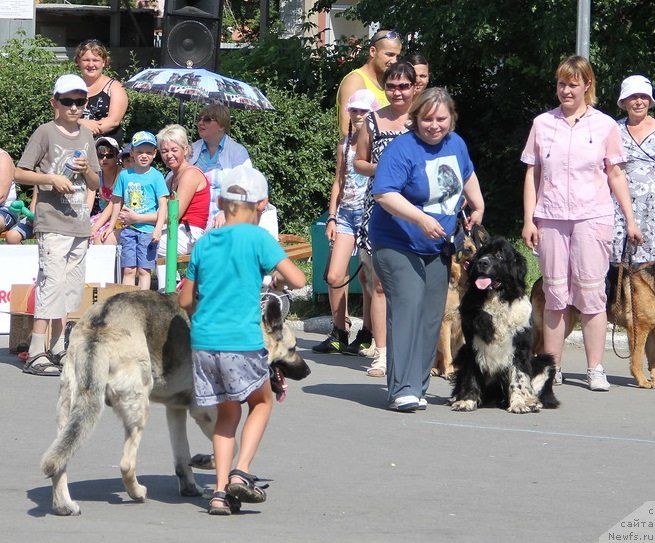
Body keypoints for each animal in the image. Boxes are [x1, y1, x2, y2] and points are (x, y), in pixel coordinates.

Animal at [452, 237, 560, 412]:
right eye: (482, 253)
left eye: (500, 255)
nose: (482, 262)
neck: (497, 299)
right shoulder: (470, 345)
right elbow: (471, 375)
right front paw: (467, 401)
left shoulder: (520, 347)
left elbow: (518, 377)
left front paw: (520, 404)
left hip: (545, 361)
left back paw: (533, 402)